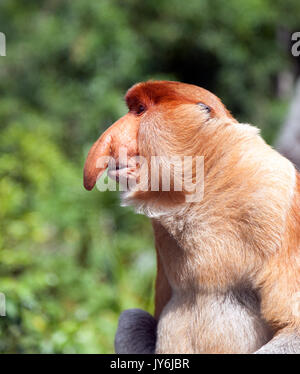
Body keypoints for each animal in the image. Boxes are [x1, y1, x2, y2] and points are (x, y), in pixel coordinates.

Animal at [83, 80, 300, 352]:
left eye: (140, 110)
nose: (110, 141)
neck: (202, 189)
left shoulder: (276, 198)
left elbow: (293, 328)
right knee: (130, 318)